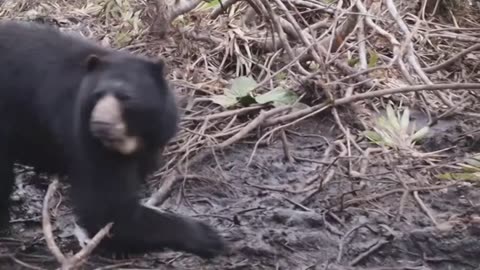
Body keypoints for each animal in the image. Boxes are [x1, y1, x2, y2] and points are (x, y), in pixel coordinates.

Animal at [0, 20, 226, 258]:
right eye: (97, 95)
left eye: (126, 98)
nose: (101, 123)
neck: (131, 138)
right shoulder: (86, 139)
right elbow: (107, 210)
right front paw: (208, 235)